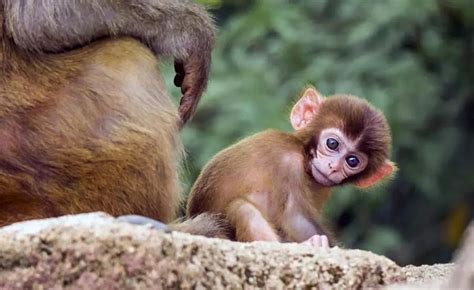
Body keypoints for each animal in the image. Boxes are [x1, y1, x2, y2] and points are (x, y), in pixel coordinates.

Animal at [187, 85, 394, 247]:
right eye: (332, 143)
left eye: (352, 161)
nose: (333, 167)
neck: (302, 151)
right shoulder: (288, 162)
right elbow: (295, 217)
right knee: (241, 208)